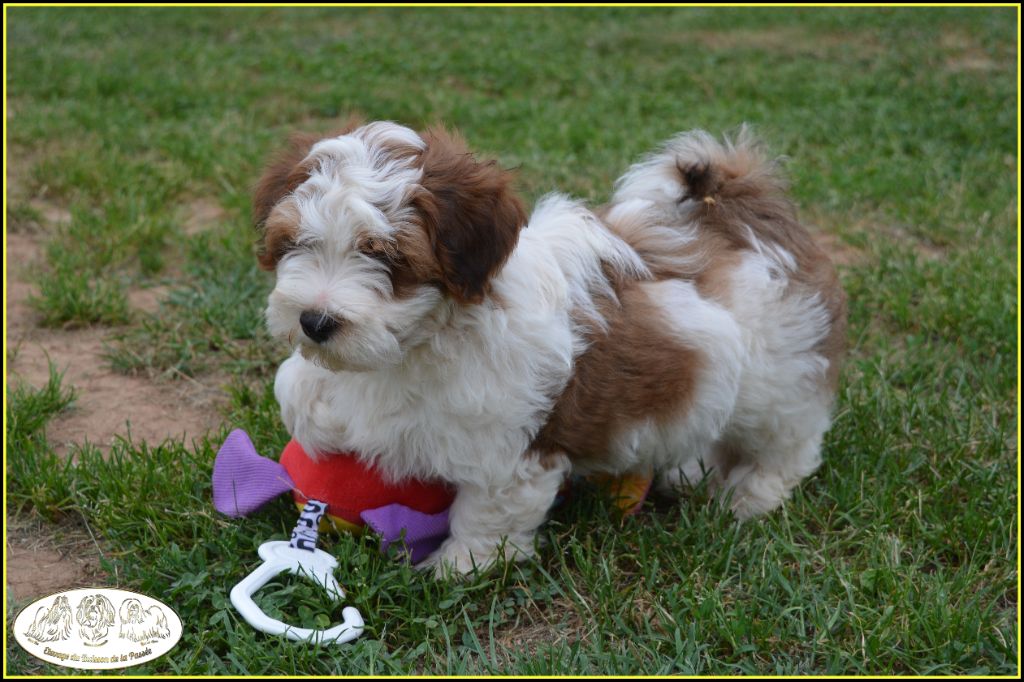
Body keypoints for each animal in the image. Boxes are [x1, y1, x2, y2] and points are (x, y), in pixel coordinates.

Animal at [256, 118, 847, 573]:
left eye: (384, 257)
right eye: (298, 243)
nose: (315, 321)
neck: (427, 337)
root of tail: (742, 213)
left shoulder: (508, 451)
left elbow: (488, 510)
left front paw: (460, 566)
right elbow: (302, 381)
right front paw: (315, 414)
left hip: (778, 375)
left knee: (789, 438)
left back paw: (753, 492)